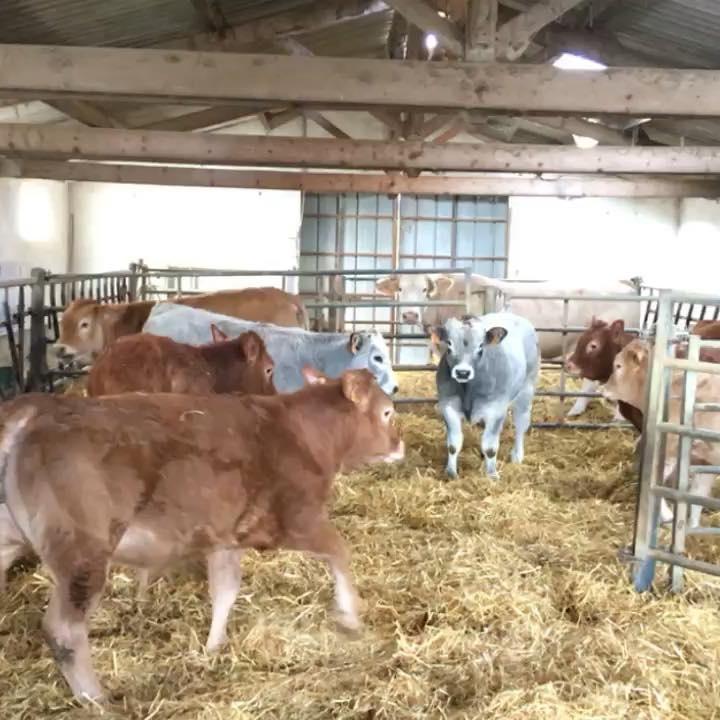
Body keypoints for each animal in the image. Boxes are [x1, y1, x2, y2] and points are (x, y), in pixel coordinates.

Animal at [0, 369, 404, 702]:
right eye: (387, 413)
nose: (400, 445)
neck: (301, 433)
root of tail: (38, 408)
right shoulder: (297, 519)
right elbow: (340, 552)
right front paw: (350, 617)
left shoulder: (226, 538)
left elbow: (225, 591)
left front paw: (213, 647)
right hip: (83, 552)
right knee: (64, 631)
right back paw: (96, 700)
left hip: (13, 536)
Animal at [434, 313, 539, 479]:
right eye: (449, 344)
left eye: (481, 346)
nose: (462, 372)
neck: (468, 390)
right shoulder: (448, 406)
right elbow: (453, 444)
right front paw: (451, 473)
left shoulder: (496, 410)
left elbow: (490, 448)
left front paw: (492, 475)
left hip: (526, 390)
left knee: (521, 424)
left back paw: (517, 455)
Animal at [603, 339, 720, 528]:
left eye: (618, 365)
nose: (604, 389)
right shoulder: (707, 462)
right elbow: (698, 496)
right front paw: (691, 526)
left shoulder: (668, 448)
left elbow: (654, 481)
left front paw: (667, 516)